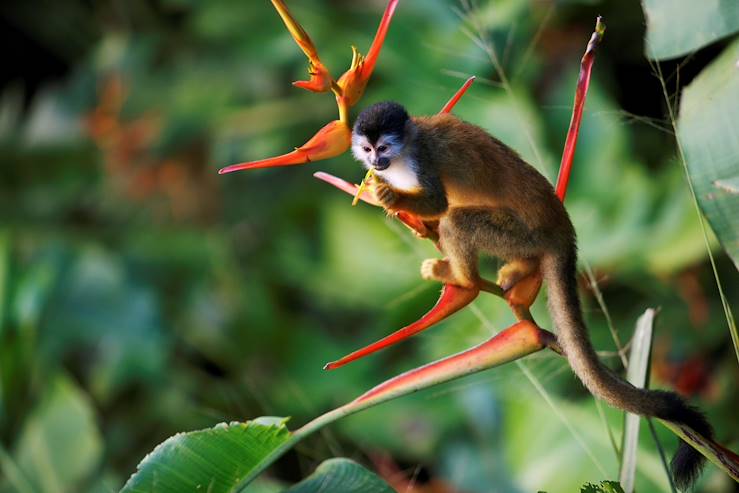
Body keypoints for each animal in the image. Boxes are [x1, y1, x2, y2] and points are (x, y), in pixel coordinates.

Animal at [352, 101, 716, 488]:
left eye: (383, 147)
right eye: (368, 148)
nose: (376, 162)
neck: (405, 149)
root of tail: (562, 228)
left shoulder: (423, 161)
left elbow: (437, 202)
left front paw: (391, 197)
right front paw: (403, 212)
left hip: (521, 232)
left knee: (458, 221)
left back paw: (464, 279)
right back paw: (518, 270)